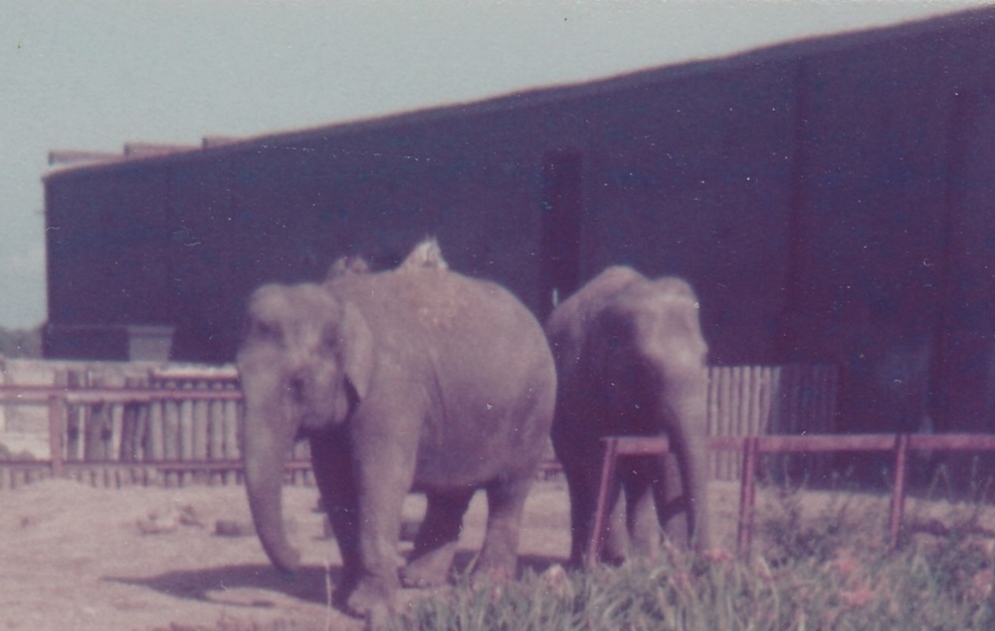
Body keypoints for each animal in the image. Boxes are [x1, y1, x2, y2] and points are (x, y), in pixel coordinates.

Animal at [236, 242, 557, 619]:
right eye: (237, 376)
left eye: (298, 381)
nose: (299, 557)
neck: (338, 302)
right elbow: (334, 483)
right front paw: (344, 597)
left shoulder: (392, 390)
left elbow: (379, 479)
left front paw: (367, 608)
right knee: (452, 491)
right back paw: (419, 580)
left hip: (533, 413)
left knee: (508, 493)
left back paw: (485, 584)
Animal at [546, 265, 713, 566]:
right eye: (644, 365)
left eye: (705, 357)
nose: (711, 557)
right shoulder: (586, 388)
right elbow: (601, 465)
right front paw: (616, 563)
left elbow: (668, 462)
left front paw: (668, 561)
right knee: (579, 479)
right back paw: (583, 561)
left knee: (637, 480)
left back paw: (642, 557)